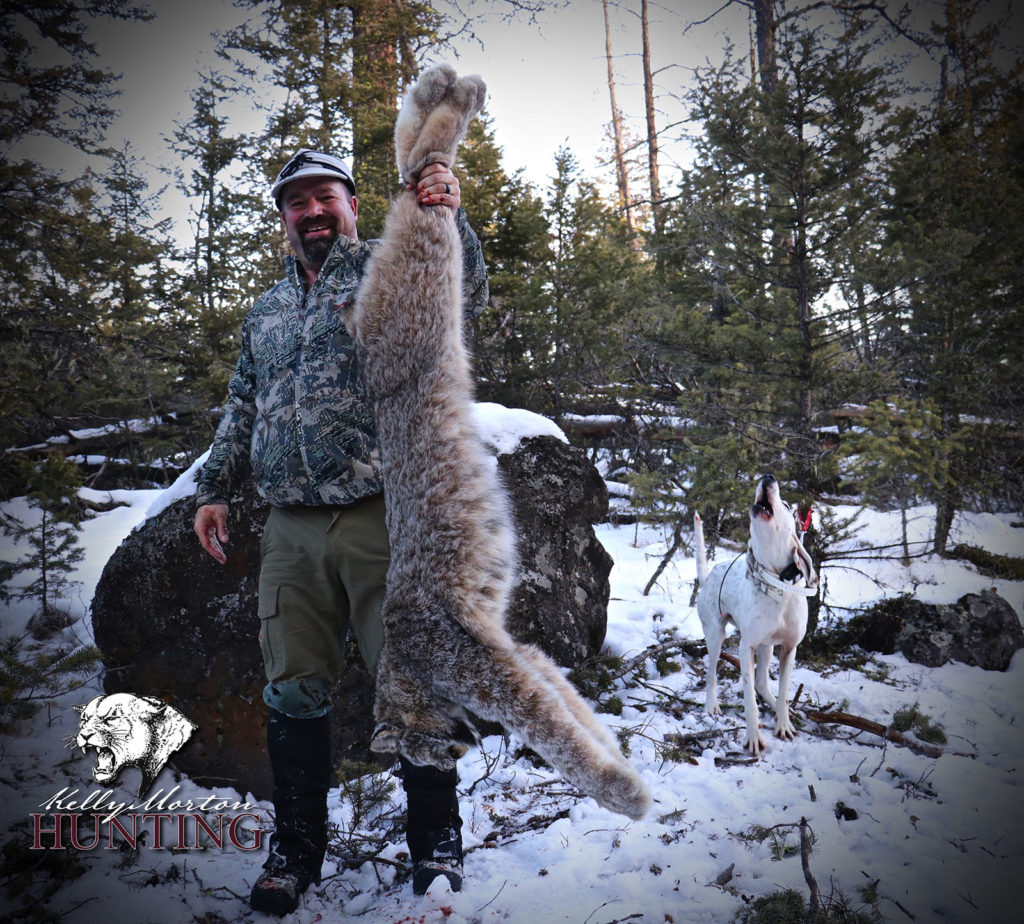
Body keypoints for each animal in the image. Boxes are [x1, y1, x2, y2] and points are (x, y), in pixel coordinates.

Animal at [693, 475, 818, 756]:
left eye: (786, 505)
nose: (768, 476)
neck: (778, 588)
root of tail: (709, 575)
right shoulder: (745, 647)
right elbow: (750, 700)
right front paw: (753, 737)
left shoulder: (789, 649)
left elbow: (782, 691)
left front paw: (783, 724)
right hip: (716, 635)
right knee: (711, 674)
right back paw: (711, 705)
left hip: (767, 646)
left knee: (763, 684)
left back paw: (780, 706)